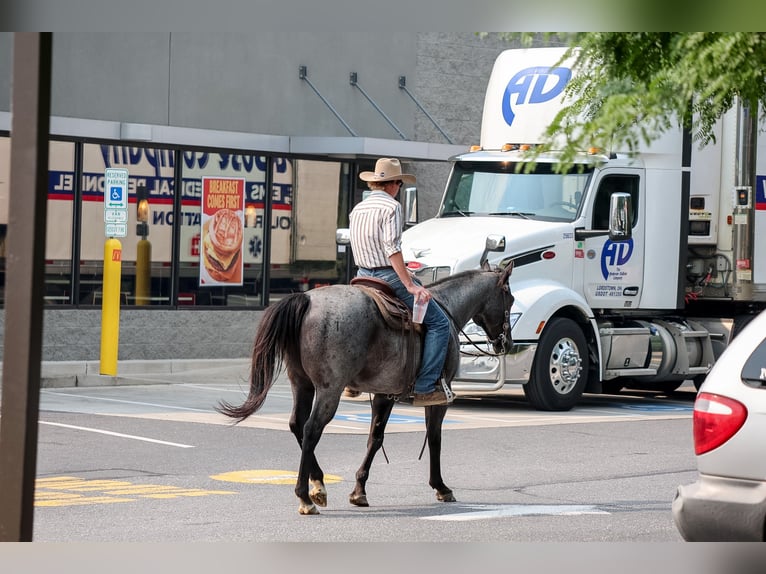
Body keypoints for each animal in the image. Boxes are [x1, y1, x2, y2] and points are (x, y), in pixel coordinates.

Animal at [217, 260, 514, 515]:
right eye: (509, 299)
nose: (507, 343)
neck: (448, 308)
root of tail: (307, 299)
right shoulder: (440, 396)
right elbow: (434, 438)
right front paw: (441, 487)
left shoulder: (384, 393)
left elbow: (375, 438)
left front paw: (359, 491)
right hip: (329, 389)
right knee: (311, 429)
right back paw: (305, 496)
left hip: (301, 383)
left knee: (296, 424)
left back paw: (318, 485)